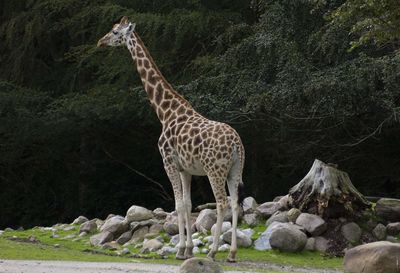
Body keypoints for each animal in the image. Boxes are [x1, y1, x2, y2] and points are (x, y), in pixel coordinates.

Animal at [98, 17, 245, 262]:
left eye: (115, 31)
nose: (101, 41)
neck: (165, 112)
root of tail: (236, 145)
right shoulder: (185, 169)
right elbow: (187, 204)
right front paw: (188, 249)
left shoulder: (168, 163)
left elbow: (178, 204)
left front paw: (180, 250)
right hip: (235, 169)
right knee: (234, 204)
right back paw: (232, 253)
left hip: (215, 170)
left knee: (222, 203)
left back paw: (213, 251)